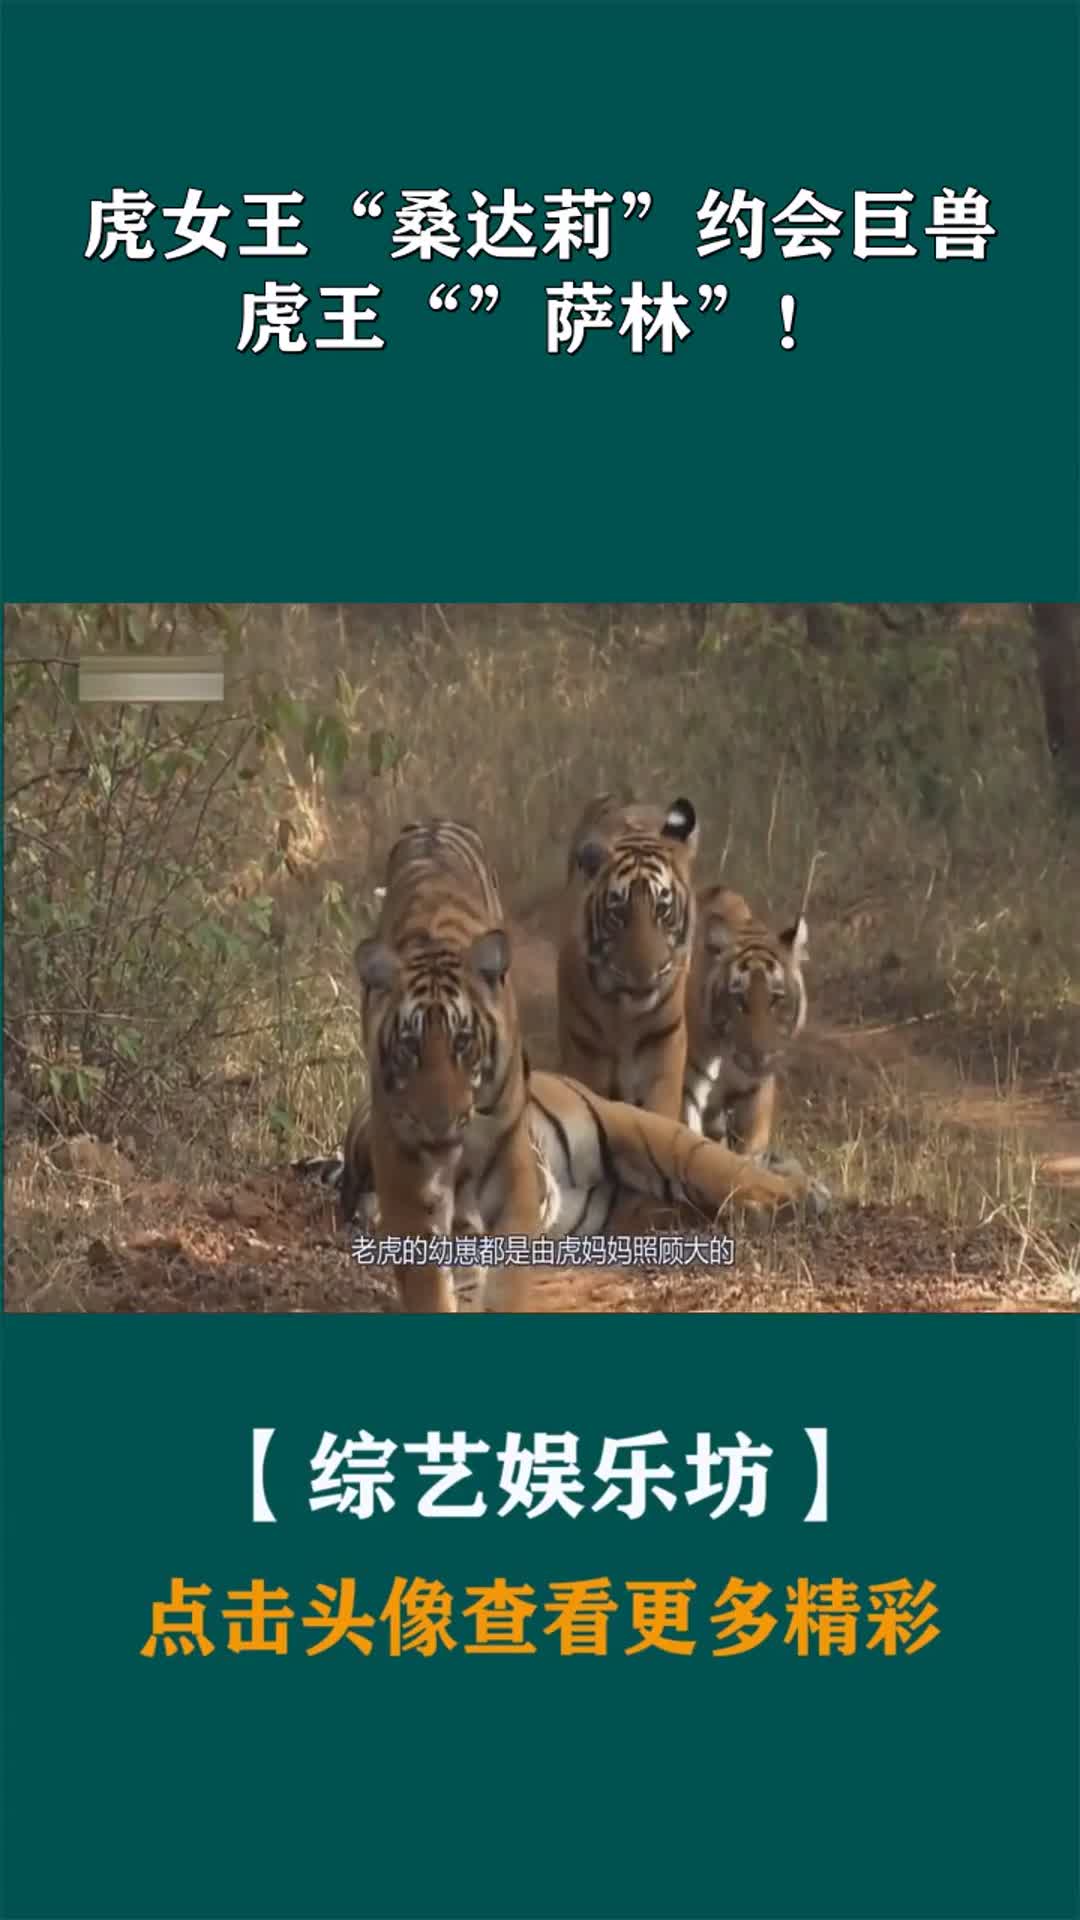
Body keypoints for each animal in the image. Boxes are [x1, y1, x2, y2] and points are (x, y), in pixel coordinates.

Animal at [344, 817, 544, 1314]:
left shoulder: (508, 1159)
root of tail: (432, 823)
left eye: (463, 1042)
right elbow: (426, 1281)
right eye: (410, 1046)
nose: (440, 1125)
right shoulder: (400, 1165)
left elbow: (510, 1276)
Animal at [556, 793, 700, 1119]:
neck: (626, 1017)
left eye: (662, 909)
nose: (645, 974)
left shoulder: (663, 1054)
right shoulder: (586, 1055)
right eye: (619, 913)